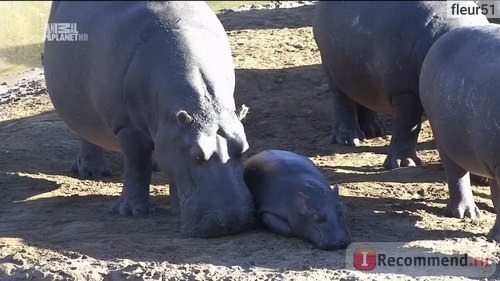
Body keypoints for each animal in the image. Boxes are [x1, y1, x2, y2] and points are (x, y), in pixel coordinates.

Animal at [43, 1, 254, 236]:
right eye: (197, 155)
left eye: (243, 148)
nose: (233, 220)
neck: (205, 110)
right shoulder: (127, 127)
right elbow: (136, 166)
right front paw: (132, 212)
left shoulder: (174, 134)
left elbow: (171, 165)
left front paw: (175, 210)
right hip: (82, 110)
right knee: (86, 134)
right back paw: (91, 171)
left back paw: (155, 166)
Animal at [312, 1, 488, 168]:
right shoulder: (404, 91)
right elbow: (407, 125)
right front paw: (404, 164)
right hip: (328, 63)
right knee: (342, 100)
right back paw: (350, 140)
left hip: (360, 70)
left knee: (364, 96)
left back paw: (375, 132)